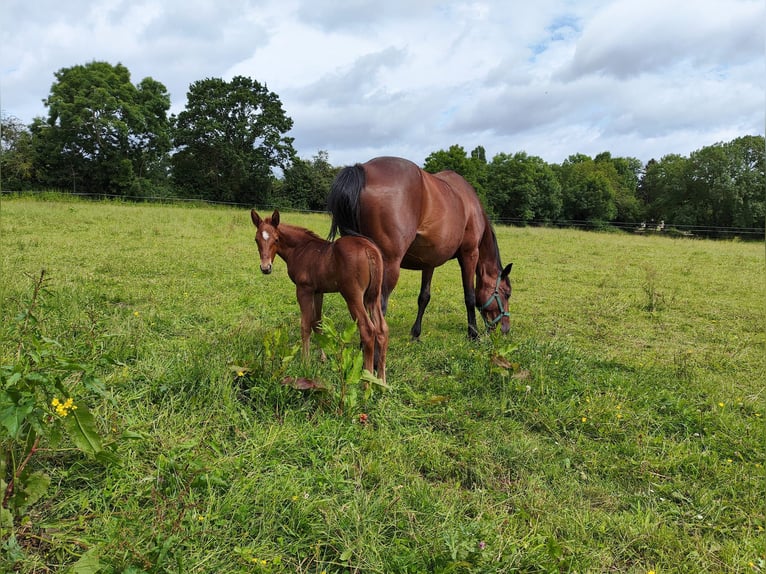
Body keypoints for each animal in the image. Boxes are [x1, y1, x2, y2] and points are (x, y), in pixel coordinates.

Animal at [254, 209, 390, 384]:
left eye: (276, 239)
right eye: (256, 240)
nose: (266, 268)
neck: (300, 249)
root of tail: (369, 249)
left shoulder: (303, 289)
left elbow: (305, 325)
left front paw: (305, 363)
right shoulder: (318, 291)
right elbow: (317, 323)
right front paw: (323, 358)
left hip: (352, 296)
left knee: (367, 330)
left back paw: (367, 382)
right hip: (373, 296)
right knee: (382, 329)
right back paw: (382, 381)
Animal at [328, 156, 512, 342]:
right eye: (507, 293)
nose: (505, 329)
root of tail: (362, 169)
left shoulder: (429, 262)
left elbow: (424, 297)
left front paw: (416, 334)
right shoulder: (469, 254)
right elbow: (470, 296)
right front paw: (473, 334)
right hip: (388, 266)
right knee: (379, 307)